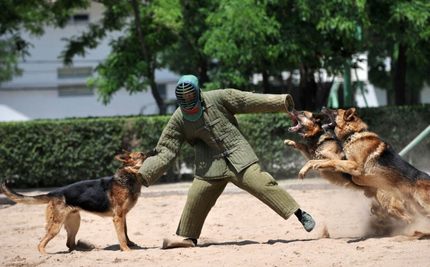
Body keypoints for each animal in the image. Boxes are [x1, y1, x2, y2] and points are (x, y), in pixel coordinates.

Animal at [0, 151, 153, 255]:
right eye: (141, 155)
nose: (151, 152)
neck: (128, 176)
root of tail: (54, 192)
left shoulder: (123, 216)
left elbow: (125, 233)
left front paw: (130, 244)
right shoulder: (118, 217)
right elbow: (121, 236)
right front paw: (126, 249)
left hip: (74, 222)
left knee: (70, 243)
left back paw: (84, 250)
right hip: (56, 226)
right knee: (41, 243)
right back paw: (45, 255)